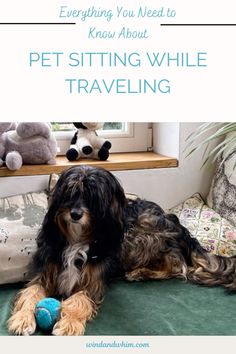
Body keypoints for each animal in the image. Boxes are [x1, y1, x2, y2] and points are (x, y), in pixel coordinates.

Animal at [7, 165, 236, 334]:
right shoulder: (44, 272)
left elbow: (79, 300)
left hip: (141, 233)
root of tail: (180, 227)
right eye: (70, 192)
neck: (77, 238)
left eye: (93, 197)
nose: (75, 214)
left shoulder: (93, 281)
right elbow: (31, 292)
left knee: (177, 267)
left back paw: (140, 272)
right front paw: (22, 319)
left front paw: (69, 323)